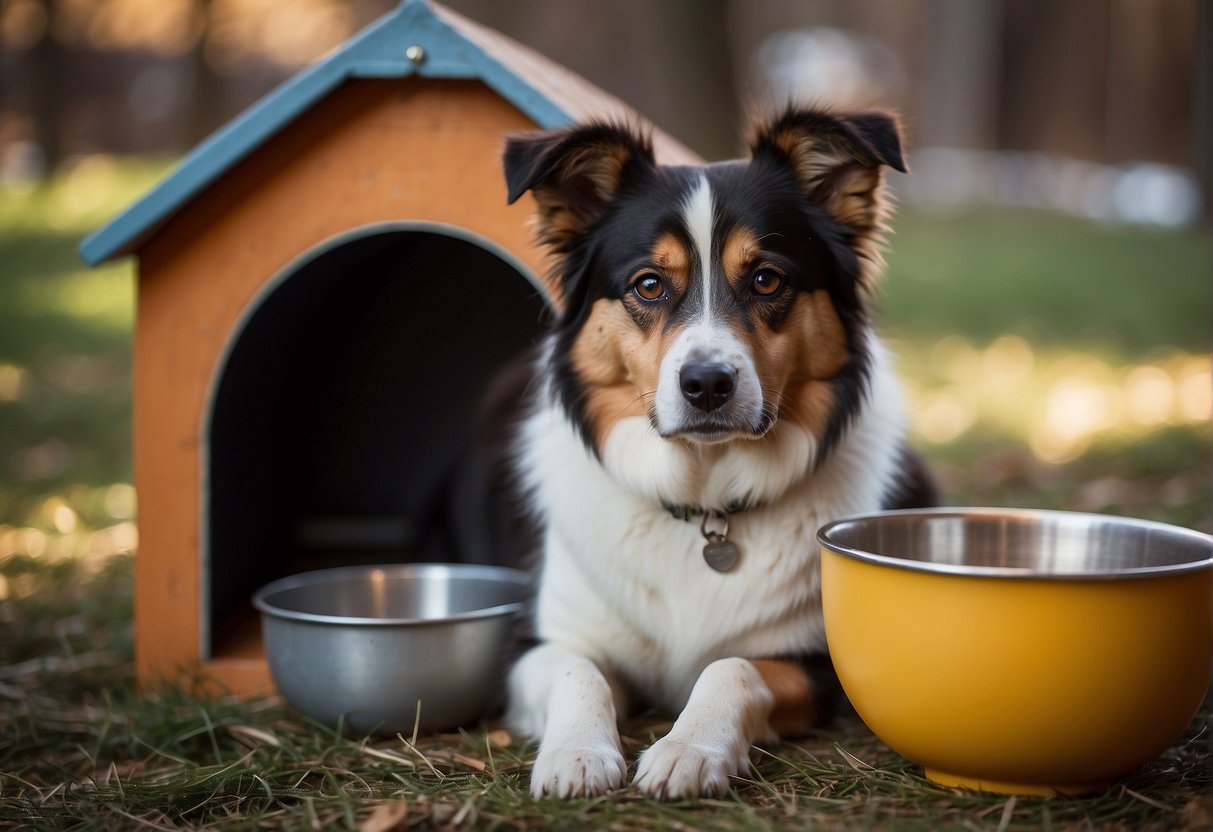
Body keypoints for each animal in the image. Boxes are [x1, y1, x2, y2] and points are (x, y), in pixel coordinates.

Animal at [492, 106, 936, 800]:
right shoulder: (535, 641)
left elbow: (731, 665)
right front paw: (578, 753)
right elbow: (577, 670)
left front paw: (689, 748)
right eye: (649, 284)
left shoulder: (817, 663)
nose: (706, 384)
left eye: (766, 279)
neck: (705, 503)